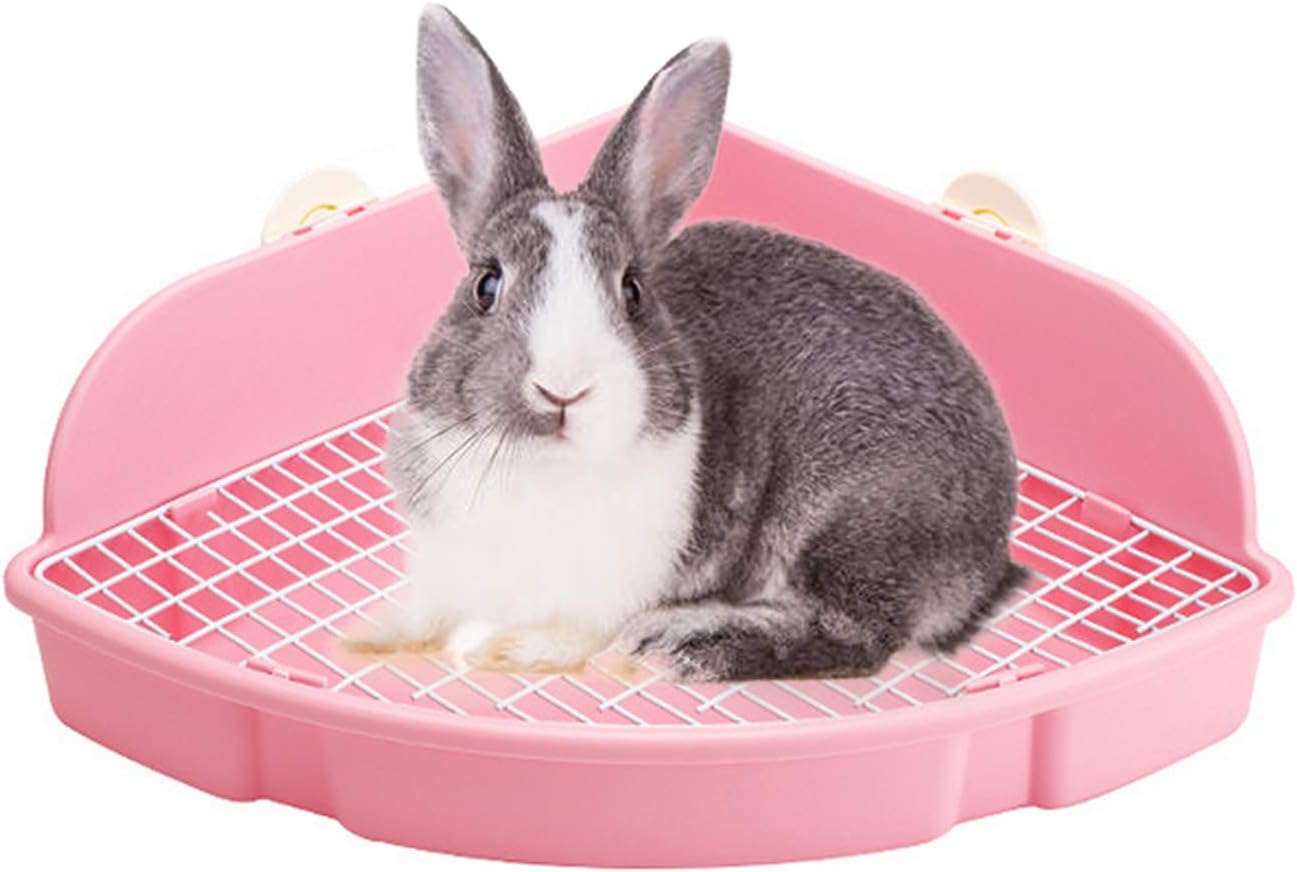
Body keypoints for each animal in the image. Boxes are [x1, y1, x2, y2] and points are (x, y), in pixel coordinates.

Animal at [353, 5, 1027, 682]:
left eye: (632, 292)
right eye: (485, 285)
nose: (564, 391)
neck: (543, 471)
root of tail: (987, 556)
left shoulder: (608, 592)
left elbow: (575, 635)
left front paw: (509, 650)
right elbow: (428, 611)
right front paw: (372, 636)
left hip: (851, 515)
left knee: (854, 636)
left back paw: (693, 639)